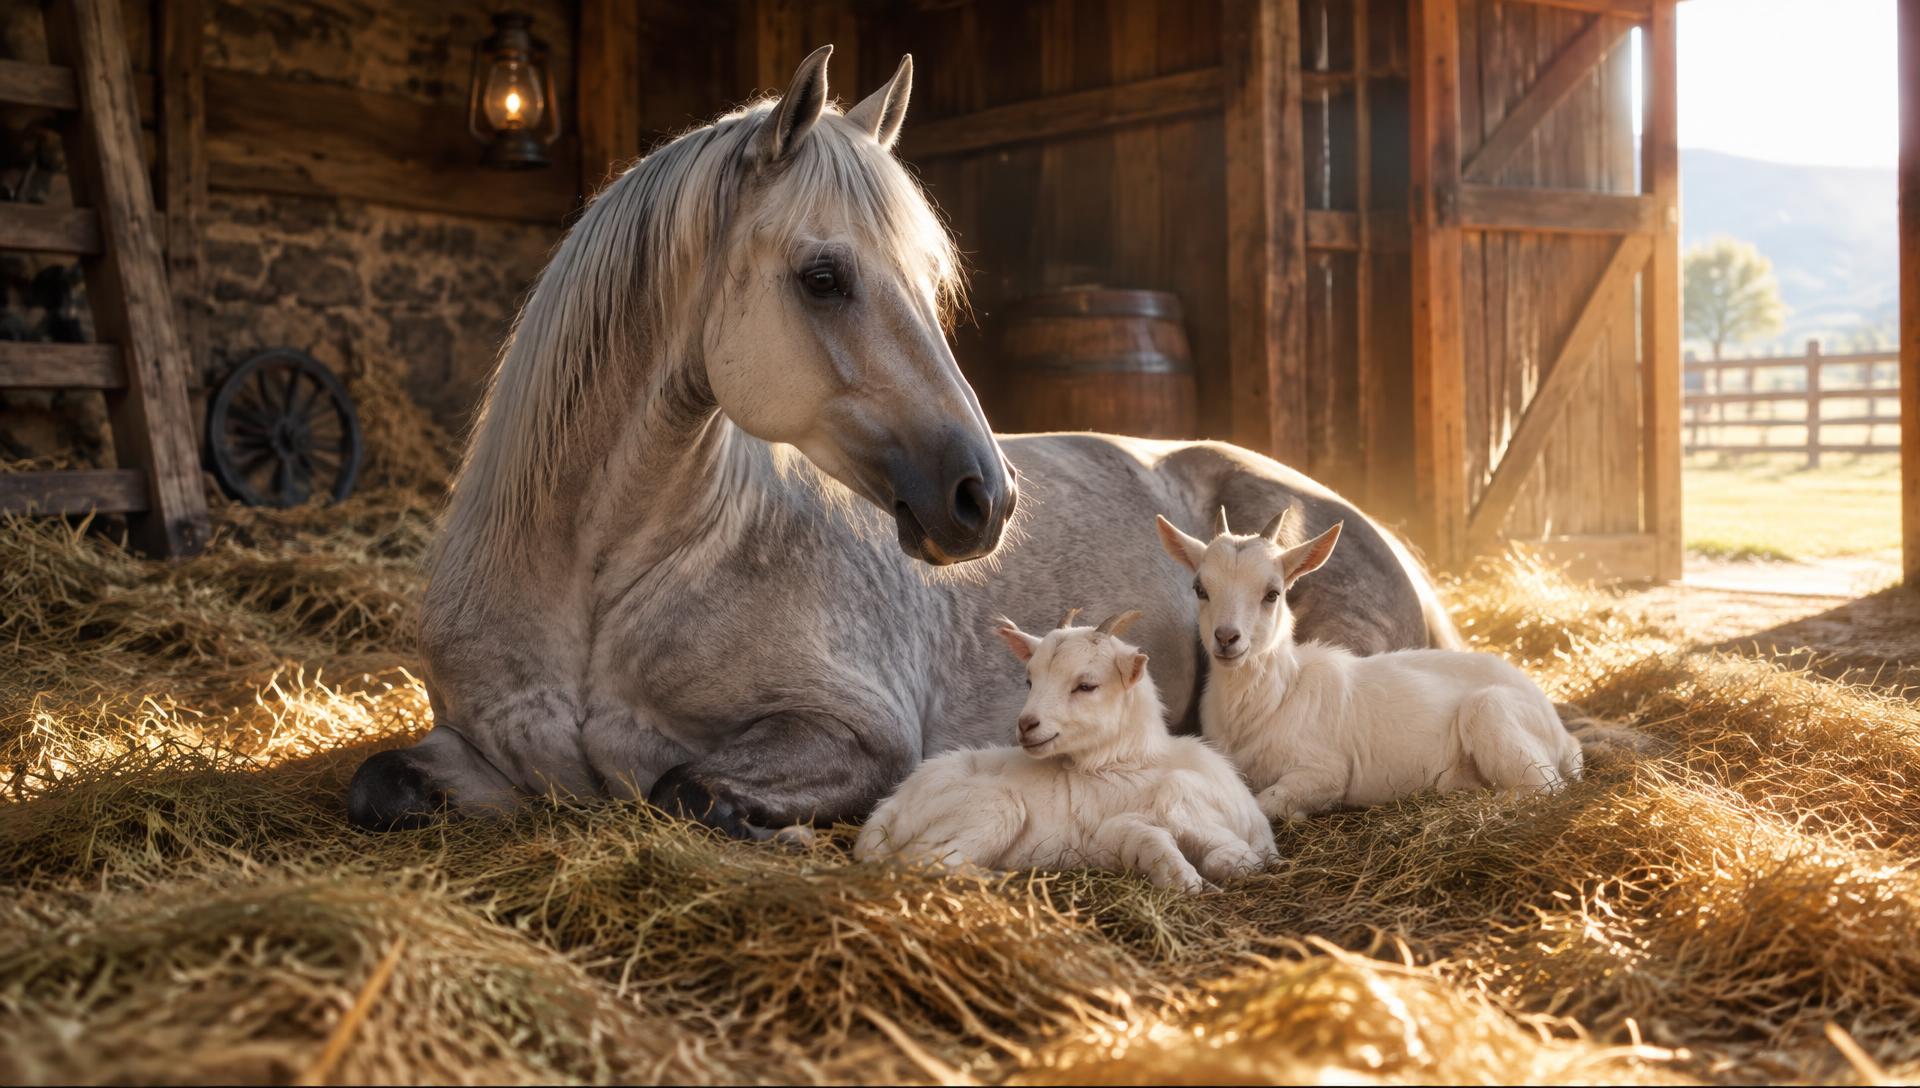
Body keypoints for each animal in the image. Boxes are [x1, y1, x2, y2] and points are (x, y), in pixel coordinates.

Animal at [346, 46, 1461, 838]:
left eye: (931, 282)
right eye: (823, 276)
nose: (985, 498)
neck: (600, 581)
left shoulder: (853, 732)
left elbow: (683, 788)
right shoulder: (471, 747)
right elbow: (376, 784)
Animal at [854, 610, 1277, 892]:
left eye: (1086, 685)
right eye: (1029, 680)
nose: (1026, 725)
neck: (1130, 764)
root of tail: (888, 811)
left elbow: (1234, 858)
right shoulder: (1106, 833)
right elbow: (1153, 835)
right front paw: (1184, 877)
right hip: (992, 807)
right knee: (920, 860)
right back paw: (996, 877)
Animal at [1156, 508, 1582, 820]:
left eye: (1272, 593)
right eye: (1200, 589)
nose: (1227, 638)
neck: (1275, 698)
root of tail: (1563, 735)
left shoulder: (1325, 771)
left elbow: (1268, 802)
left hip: (1492, 713)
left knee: (1547, 787)